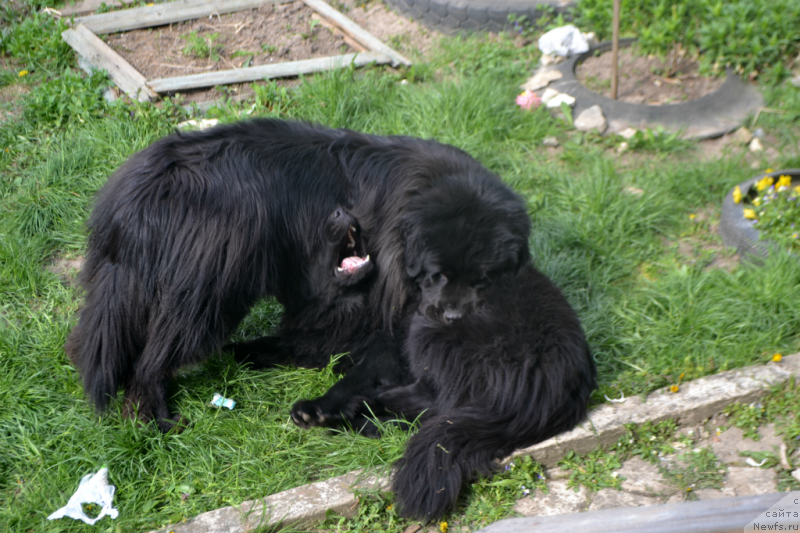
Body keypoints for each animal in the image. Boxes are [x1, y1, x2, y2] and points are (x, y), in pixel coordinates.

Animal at [65, 117, 520, 432]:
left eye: (483, 279)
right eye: (438, 275)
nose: (453, 316)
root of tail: (141, 196)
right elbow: (369, 361)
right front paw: (322, 406)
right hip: (204, 293)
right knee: (153, 358)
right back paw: (155, 418)